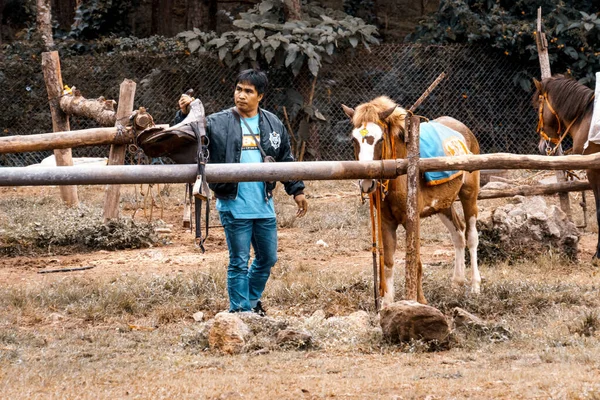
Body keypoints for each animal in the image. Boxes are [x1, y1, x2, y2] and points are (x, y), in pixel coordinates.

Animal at [342, 97, 482, 306]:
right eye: (354, 140)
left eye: (380, 139)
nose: (367, 183)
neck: (400, 172)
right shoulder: (386, 222)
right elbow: (388, 262)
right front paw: (387, 304)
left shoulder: (412, 220)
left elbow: (416, 261)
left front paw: (420, 301)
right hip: (443, 204)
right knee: (458, 234)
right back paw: (457, 283)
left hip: (469, 194)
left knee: (471, 236)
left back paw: (475, 286)